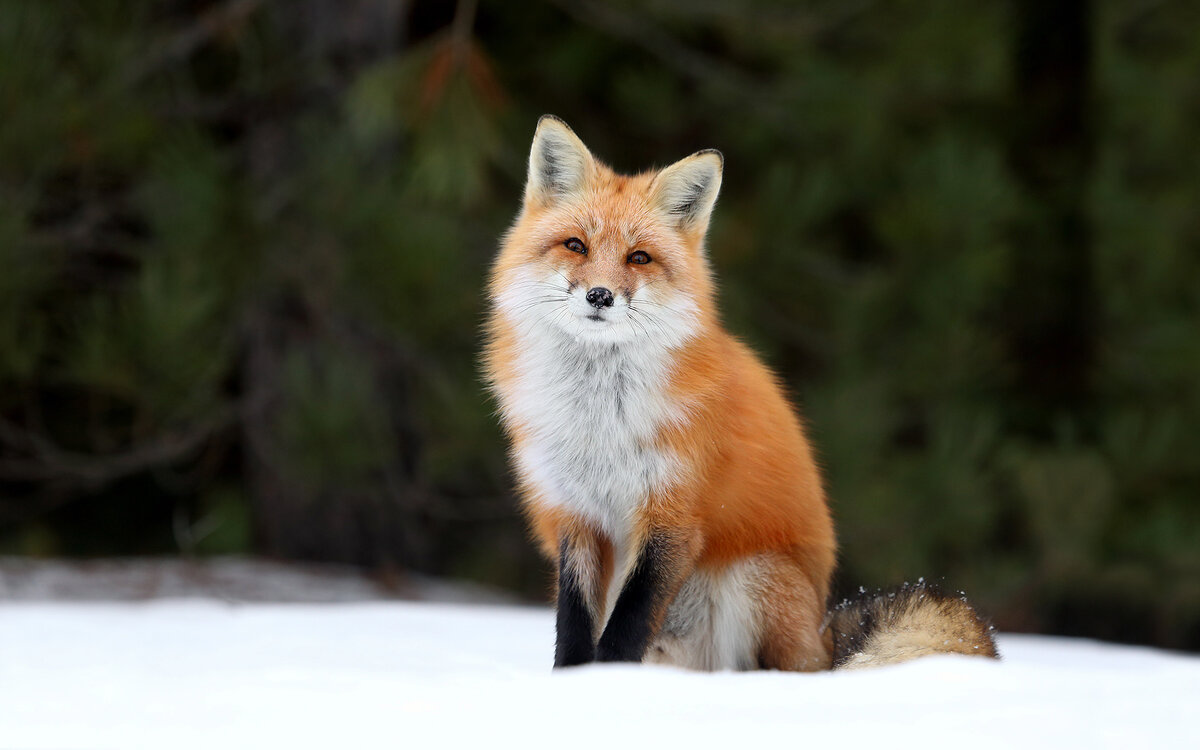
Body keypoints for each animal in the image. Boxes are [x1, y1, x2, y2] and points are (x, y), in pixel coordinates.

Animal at [482, 118, 998, 672]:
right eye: (576, 245)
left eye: (639, 257)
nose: (600, 296)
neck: (599, 421)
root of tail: (823, 635)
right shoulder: (575, 515)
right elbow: (574, 626)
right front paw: (573, 682)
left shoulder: (673, 516)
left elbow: (627, 626)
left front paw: (613, 678)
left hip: (753, 578)